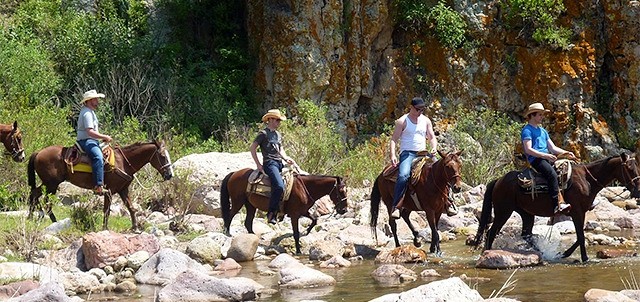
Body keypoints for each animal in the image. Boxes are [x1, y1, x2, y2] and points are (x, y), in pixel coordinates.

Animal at [27, 140, 174, 231]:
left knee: (34, 194)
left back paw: (34, 216)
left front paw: (135, 227)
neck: (123, 162)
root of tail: (38, 152)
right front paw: (105, 229)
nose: (170, 175)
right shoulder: (109, 191)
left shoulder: (123, 189)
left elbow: (131, 208)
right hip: (51, 184)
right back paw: (50, 220)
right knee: (44, 199)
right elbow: (106, 210)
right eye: (162, 156)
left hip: (48, 184)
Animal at [221, 169, 350, 254]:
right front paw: (298, 251)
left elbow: (315, 220)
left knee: (248, 222)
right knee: (229, 216)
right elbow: (296, 233)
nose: (344, 210)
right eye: (341, 191)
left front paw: (307, 232)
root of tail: (234, 173)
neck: (304, 188)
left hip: (250, 205)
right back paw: (227, 233)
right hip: (238, 202)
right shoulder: (294, 214)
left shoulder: (303, 211)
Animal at [470, 152, 640, 264]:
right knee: (491, 232)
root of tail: (498, 180)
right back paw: (486, 254)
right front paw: (584, 258)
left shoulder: (581, 212)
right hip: (503, 211)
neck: (587, 180)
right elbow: (581, 237)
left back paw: (542, 253)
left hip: (526, 213)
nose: (637, 191)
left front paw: (564, 253)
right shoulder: (577, 212)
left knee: (526, 234)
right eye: (629, 168)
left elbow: (580, 237)